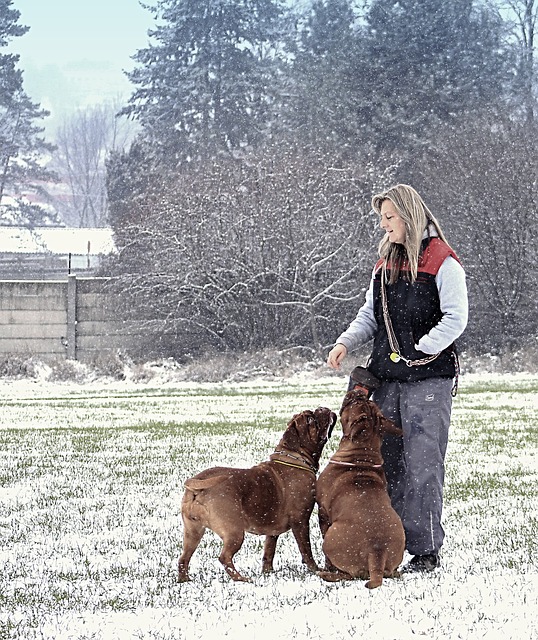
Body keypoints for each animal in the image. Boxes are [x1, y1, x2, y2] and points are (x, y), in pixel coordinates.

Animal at [178, 408, 332, 584]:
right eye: (310, 420)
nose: (322, 408)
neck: (296, 458)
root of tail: (197, 484)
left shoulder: (272, 531)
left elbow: (269, 552)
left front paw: (268, 572)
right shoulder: (300, 521)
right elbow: (306, 549)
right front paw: (315, 569)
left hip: (193, 532)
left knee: (183, 558)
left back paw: (184, 580)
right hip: (234, 532)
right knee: (224, 557)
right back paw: (241, 579)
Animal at [314, 388, 402, 588]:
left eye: (356, 403)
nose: (359, 392)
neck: (362, 454)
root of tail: (376, 552)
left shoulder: (323, 512)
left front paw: (327, 567)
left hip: (331, 539)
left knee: (349, 574)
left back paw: (326, 574)